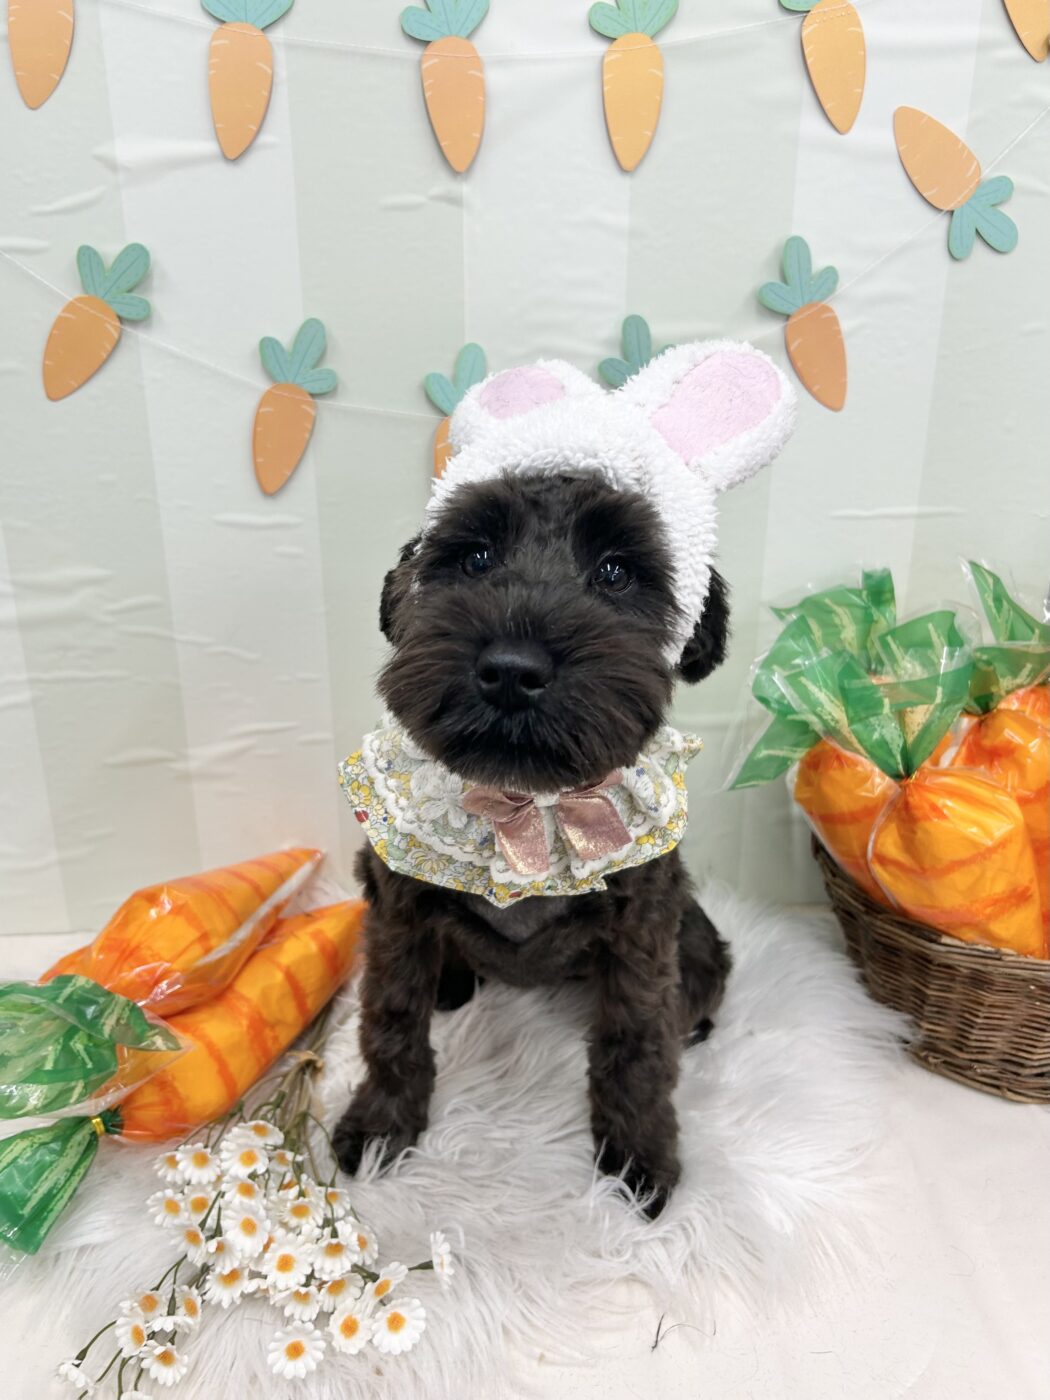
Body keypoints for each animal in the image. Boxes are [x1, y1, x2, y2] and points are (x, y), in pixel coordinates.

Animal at [334, 345, 796, 1215]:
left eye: (616, 572)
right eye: (474, 557)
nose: (513, 670)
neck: (523, 806)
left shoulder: (643, 932)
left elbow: (637, 1042)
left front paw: (638, 1158)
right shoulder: (396, 911)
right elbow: (391, 1019)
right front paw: (381, 1127)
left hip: (697, 939)